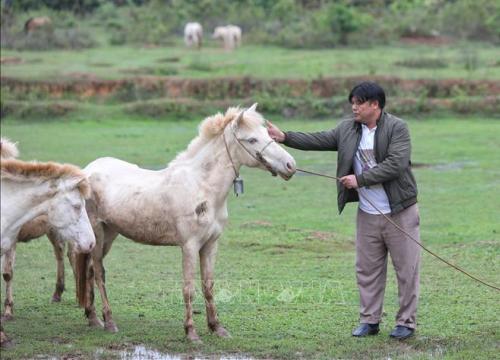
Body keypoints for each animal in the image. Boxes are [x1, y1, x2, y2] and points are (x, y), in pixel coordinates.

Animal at [0, 139, 95, 348]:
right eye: (77, 205)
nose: (91, 242)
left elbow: (8, 274)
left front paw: (8, 313)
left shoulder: (10, 241)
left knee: (68, 256)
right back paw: (58, 293)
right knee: (60, 254)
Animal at [72, 103, 294, 340]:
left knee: (89, 271)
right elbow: (189, 287)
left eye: (267, 134)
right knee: (98, 273)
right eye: (252, 139)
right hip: (97, 232)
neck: (201, 186)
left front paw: (217, 327)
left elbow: (208, 285)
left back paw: (93, 318)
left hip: (110, 234)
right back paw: (109, 322)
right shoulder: (189, 245)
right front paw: (191, 332)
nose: (290, 165)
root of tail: (86, 172)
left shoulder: (210, 244)